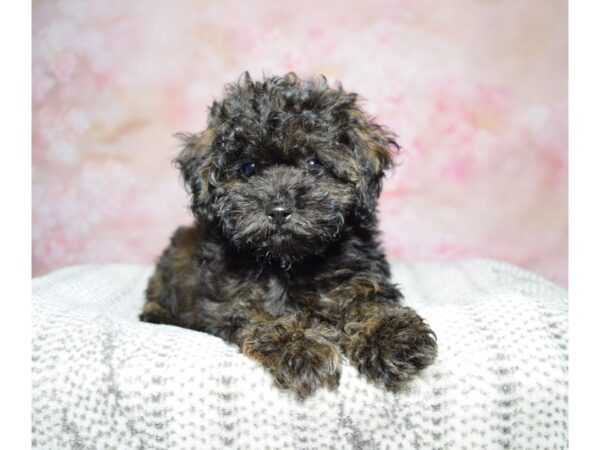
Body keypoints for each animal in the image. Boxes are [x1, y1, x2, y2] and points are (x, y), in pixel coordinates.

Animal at [143, 73, 438, 398]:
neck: (289, 261)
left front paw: (391, 335)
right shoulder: (231, 296)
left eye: (314, 163)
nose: (279, 209)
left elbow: (365, 298)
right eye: (249, 168)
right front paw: (302, 348)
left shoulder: (354, 271)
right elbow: (266, 316)